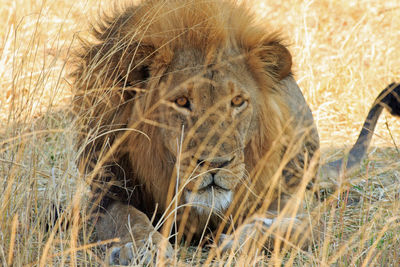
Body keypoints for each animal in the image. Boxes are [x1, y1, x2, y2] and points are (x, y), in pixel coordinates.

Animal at [72, 0, 400, 264]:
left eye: (238, 101)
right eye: (182, 102)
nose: (216, 165)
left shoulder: (289, 202)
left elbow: (297, 226)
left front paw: (240, 243)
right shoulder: (106, 192)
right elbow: (128, 219)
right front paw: (144, 249)